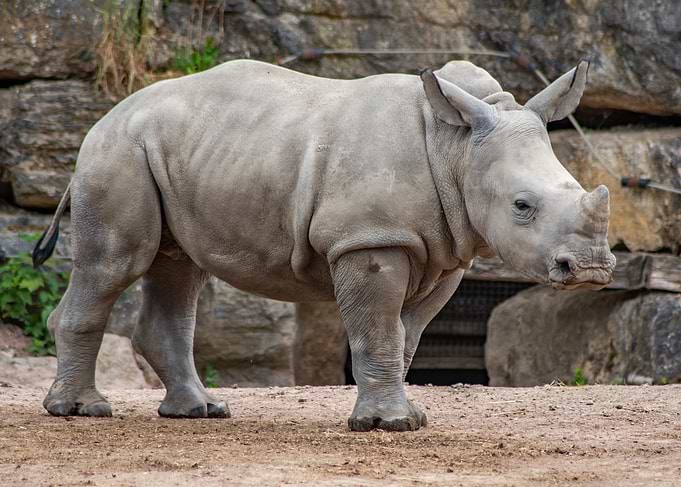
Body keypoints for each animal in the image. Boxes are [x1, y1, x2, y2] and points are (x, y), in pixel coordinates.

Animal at [34, 59, 615, 431]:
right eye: (522, 206)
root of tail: (101, 121)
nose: (590, 268)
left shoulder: (446, 253)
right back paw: (81, 412)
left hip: (176, 154)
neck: (457, 147)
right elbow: (378, 331)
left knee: (178, 269)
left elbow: (405, 335)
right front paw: (388, 425)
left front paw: (408, 416)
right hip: (118, 154)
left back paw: (200, 412)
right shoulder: (369, 239)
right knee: (114, 264)